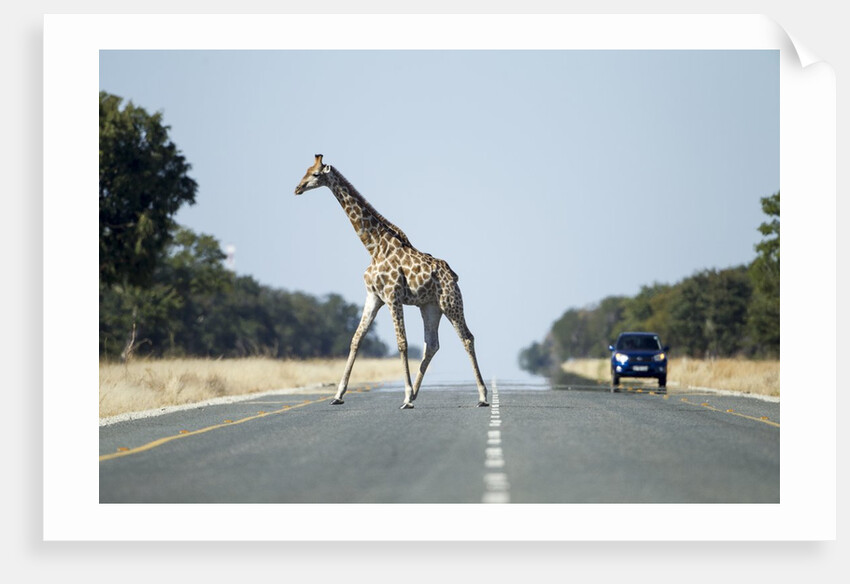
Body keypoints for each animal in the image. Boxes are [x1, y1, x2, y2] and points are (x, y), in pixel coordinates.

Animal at [294, 154, 489, 409]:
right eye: (306, 170)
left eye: (315, 174)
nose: (297, 188)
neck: (373, 247)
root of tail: (453, 274)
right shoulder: (373, 296)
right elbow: (356, 339)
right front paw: (338, 395)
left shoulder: (392, 295)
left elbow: (402, 342)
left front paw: (405, 395)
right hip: (430, 307)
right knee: (432, 344)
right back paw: (415, 394)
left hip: (451, 302)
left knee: (467, 338)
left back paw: (482, 396)